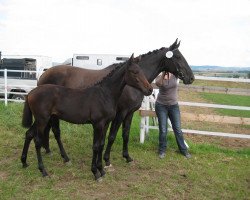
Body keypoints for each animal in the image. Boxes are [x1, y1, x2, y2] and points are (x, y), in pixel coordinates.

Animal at [20, 54, 152, 180]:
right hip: (42, 120)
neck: (104, 95)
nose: (149, 89)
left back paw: (24, 162)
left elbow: (101, 144)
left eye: (141, 70)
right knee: (37, 141)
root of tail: (31, 93)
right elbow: (96, 146)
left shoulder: (105, 124)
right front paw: (95, 173)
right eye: (134, 72)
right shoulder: (98, 124)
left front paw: (101, 170)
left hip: (42, 119)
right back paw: (43, 171)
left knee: (29, 133)